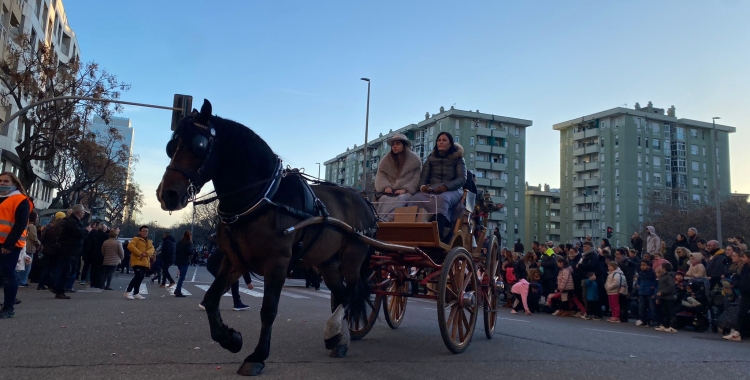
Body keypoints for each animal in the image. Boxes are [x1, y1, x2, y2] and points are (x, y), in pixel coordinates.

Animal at [155, 99, 376, 376]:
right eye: (170, 146)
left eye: (200, 145)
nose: (167, 194)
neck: (262, 197)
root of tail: (363, 199)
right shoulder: (235, 261)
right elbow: (211, 299)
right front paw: (230, 338)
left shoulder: (277, 263)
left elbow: (268, 310)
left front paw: (257, 355)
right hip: (328, 264)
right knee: (343, 295)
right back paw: (338, 338)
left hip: (353, 257)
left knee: (355, 292)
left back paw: (336, 331)